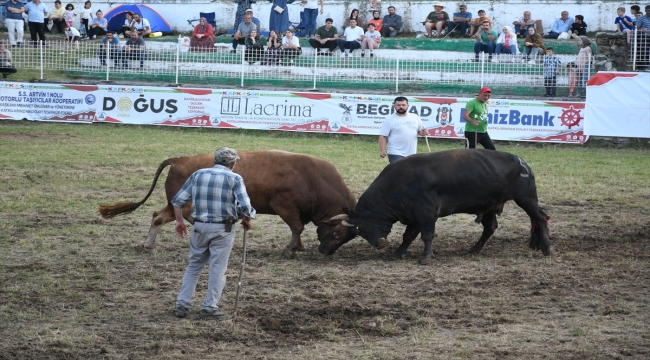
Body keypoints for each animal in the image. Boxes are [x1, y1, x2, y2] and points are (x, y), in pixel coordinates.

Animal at [98, 150, 356, 258]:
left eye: (344, 238)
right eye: (335, 234)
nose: (325, 252)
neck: (313, 180)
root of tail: (181, 159)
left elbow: (298, 229)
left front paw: (298, 246)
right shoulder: (285, 206)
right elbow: (297, 227)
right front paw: (291, 248)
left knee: (157, 215)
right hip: (181, 204)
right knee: (162, 217)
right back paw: (150, 245)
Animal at [318, 149, 548, 264]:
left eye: (362, 228)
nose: (380, 244)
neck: (398, 184)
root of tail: (523, 163)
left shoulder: (426, 213)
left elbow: (426, 235)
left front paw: (426, 257)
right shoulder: (413, 215)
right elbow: (408, 236)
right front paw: (398, 253)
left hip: (526, 198)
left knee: (541, 218)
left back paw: (546, 248)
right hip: (490, 207)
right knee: (490, 228)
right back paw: (474, 249)